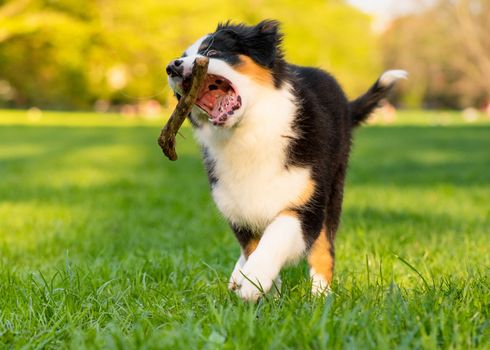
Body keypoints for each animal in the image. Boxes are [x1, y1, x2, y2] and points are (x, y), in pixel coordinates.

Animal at [167, 19, 408, 300]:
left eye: (212, 52)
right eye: (182, 57)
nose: (172, 66)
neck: (249, 134)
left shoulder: (307, 203)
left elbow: (277, 235)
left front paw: (254, 280)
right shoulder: (237, 207)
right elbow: (252, 246)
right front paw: (267, 291)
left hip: (333, 188)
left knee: (324, 247)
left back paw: (321, 295)